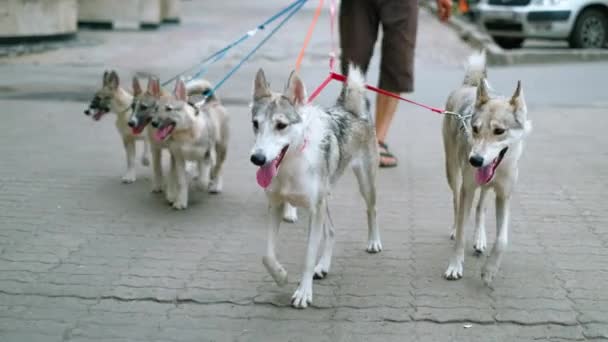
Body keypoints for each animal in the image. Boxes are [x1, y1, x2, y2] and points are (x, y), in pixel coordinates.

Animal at [151, 79, 229, 210]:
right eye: (156, 108)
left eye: (169, 109)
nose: (154, 123)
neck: (186, 135)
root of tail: (213, 101)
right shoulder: (179, 159)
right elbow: (182, 182)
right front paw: (180, 202)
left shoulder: (205, 155)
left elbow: (202, 182)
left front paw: (201, 186)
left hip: (221, 148)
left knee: (218, 167)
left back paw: (215, 186)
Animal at [249, 65, 382, 308]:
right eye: (256, 124)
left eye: (281, 125)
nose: (257, 158)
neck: (291, 164)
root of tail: (350, 110)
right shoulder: (277, 206)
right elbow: (267, 256)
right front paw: (281, 276)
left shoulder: (314, 210)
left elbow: (308, 257)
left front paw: (303, 293)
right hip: (324, 199)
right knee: (331, 231)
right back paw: (323, 267)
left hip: (364, 184)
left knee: (372, 210)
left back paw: (373, 242)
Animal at [442, 52, 532, 284]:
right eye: (475, 129)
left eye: (499, 131)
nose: (475, 160)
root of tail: (470, 86)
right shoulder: (467, 189)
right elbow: (461, 233)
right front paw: (455, 266)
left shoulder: (504, 195)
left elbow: (502, 241)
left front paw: (489, 270)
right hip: (453, 174)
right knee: (456, 205)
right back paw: (456, 229)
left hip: (484, 188)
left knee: (481, 208)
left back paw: (480, 239)